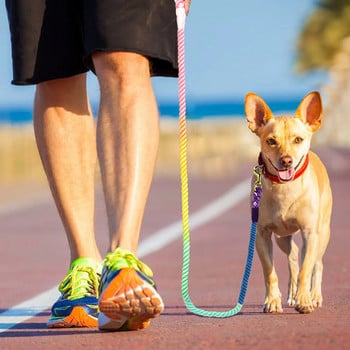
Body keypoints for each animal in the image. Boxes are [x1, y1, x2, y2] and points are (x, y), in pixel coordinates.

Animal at [245, 91, 332, 314]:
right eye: (271, 141)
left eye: (298, 139)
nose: (286, 160)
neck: (284, 188)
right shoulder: (262, 234)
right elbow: (270, 272)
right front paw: (272, 301)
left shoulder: (310, 233)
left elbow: (306, 269)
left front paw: (305, 300)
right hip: (281, 237)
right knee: (293, 255)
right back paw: (292, 294)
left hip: (322, 233)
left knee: (317, 263)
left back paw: (314, 295)